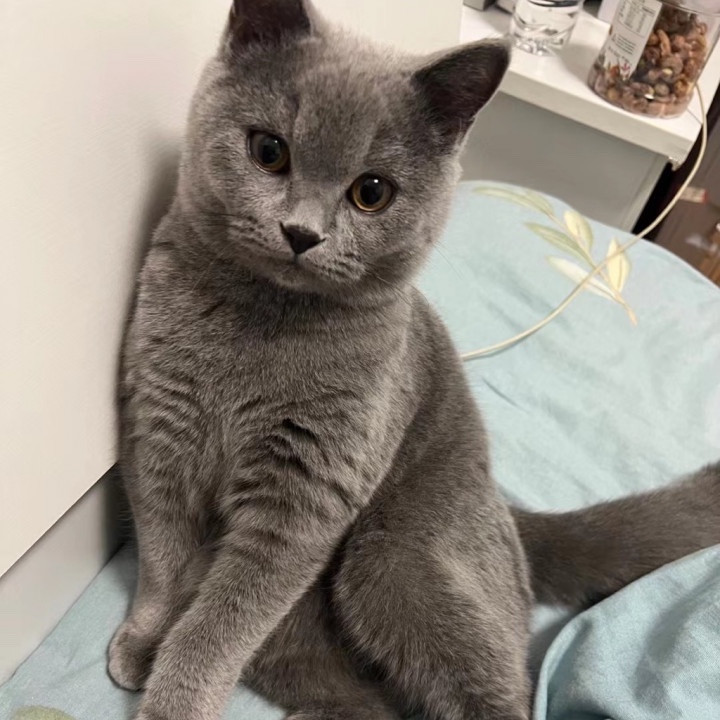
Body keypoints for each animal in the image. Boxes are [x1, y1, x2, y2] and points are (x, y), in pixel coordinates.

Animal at [107, 1, 720, 719]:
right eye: (269, 151)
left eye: (372, 192)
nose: (302, 233)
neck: (262, 325)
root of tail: (506, 510)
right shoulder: (158, 434)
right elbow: (164, 562)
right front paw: (143, 643)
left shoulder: (305, 494)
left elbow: (220, 624)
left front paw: (173, 698)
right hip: (301, 640)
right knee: (368, 698)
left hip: (395, 558)